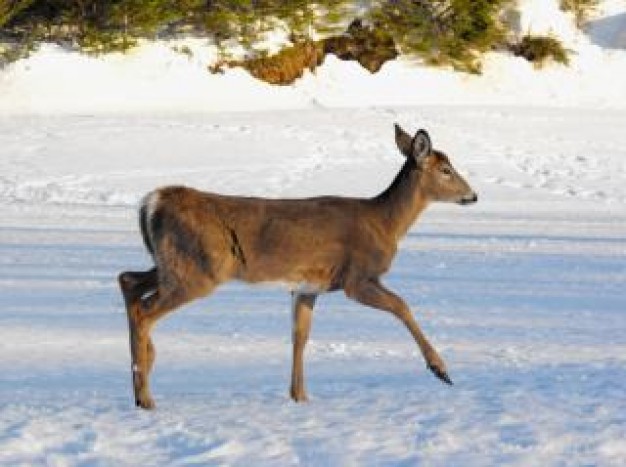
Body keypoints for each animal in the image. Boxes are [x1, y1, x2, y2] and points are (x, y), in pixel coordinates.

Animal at [118, 123, 478, 410]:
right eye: (446, 170)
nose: (473, 196)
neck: (385, 224)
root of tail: (151, 203)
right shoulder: (355, 278)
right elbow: (402, 306)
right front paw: (441, 369)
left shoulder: (307, 287)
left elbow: (300, 336)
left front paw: (299, 396)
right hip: (199, 269)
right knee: (144, 310)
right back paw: (146, 396)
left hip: (173, 263)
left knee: (128, 281)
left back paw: (143, 372)